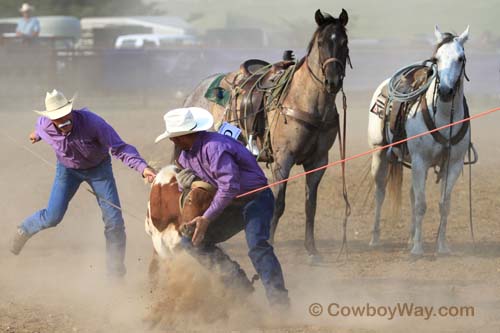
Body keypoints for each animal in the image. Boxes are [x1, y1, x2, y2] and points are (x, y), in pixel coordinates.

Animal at [182, 8, 350, 256]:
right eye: (321, 43)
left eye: (344, 42)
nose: (332, 81)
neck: (305, 101)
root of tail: (195, 92)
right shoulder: (283, 160)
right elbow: (278, 204)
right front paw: (269, 241)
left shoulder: (319, 161)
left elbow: (311, 206)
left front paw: (311, 250)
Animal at [370, 26, 470, 254]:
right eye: (436, 58)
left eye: (460, 58)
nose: (445, 91)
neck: (443, 117)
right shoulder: (420, 161)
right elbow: (421, 205)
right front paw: (417, 249)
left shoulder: (453, 164)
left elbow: (444, 205)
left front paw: (441, 247)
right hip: (379, 154)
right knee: (380, 192)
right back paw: (375, 238)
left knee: (411, 194)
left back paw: (409, 237)